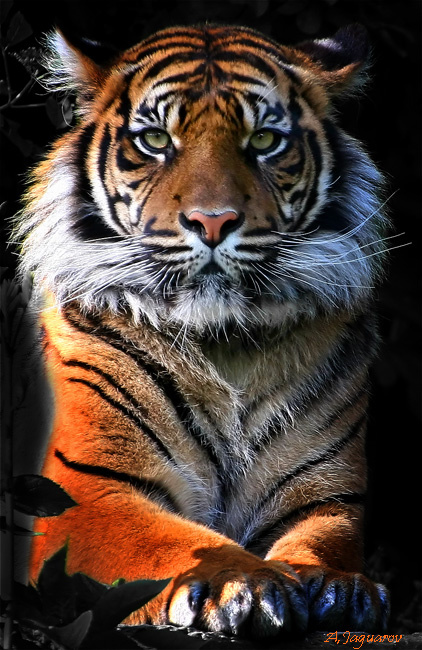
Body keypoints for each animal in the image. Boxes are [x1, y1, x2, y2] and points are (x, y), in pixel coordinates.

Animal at [15, 23, 390, 638]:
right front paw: (246, 582)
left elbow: (326, 546)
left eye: (263, 141)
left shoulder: (328, 498)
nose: (212, 221)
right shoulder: (88, 492)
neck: (225, 345)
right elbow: (178, 542)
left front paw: (341, 586)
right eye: (155, 140)